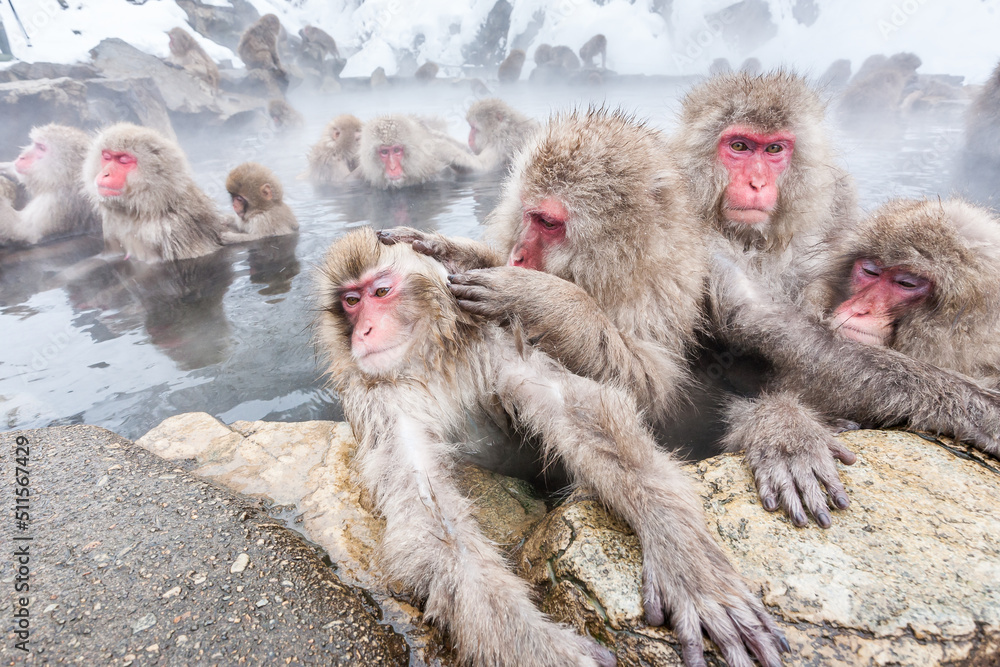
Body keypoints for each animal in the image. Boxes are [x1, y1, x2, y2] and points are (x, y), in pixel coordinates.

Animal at [317, 227, 788, 667]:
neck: (433, 358)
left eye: (381, 292)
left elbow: (575, 409)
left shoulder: (493, 341)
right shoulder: (378, 403)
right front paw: (535, 644)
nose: (364, 331)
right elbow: (429, 512)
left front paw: (683, 555)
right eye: (351, 301)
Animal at [378, 108, 708, 430]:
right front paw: (445, 248)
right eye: (527, 213)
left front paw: (536, 297)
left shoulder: (660, 300)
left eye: (548, 223)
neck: (624, 269)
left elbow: (650, 389)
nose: (517, 255)